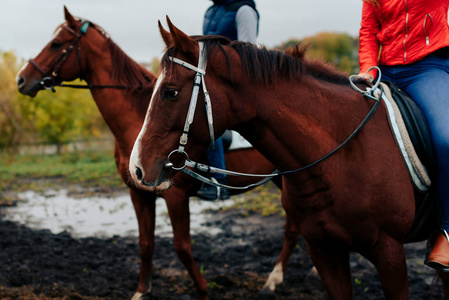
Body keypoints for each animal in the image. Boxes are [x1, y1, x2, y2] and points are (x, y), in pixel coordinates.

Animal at [15, 7, 300, 300]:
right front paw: (142, 291)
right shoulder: (138, 193)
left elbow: (182, 247)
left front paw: (203, 290)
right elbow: (145, 243)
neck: (137, 116)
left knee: (292, 229)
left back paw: (273, 279)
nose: (22, 79)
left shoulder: (175, 196)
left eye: (56, 44)